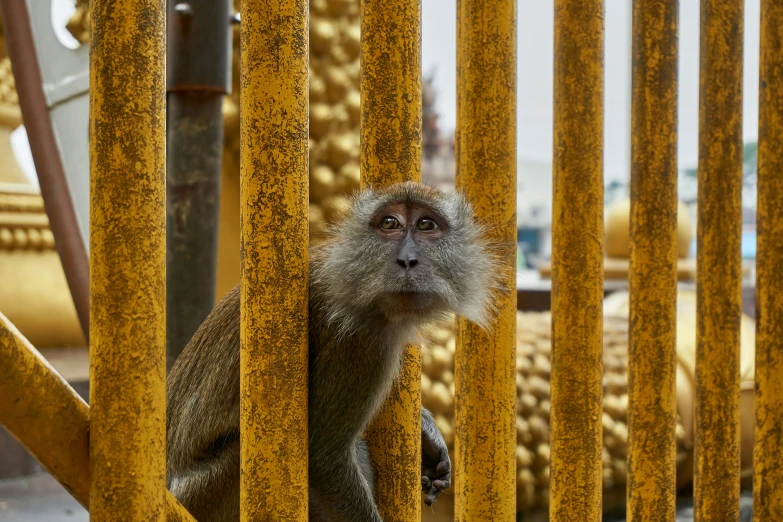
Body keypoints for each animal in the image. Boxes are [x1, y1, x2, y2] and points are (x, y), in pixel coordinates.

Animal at [165, 181, 502, 516]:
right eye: (389, 223)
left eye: (426, 225)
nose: (407, 260)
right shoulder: (361, 339)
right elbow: (324, 456)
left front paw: (427, 430)